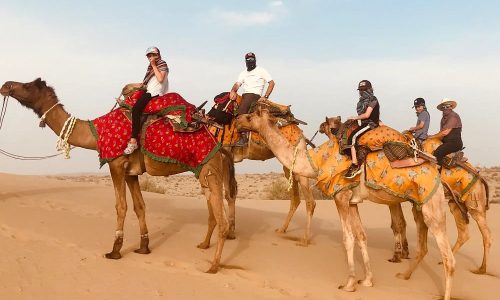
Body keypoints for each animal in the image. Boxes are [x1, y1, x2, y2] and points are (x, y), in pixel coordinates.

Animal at [0, 78, 238, 274]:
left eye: (27, 85)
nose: (6, 85)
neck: (95, 132)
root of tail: (220, 148)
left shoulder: (116, 164)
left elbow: (120, 206)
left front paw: (115, 250)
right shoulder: (131, 172)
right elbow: (140, 206)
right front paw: (143, 247)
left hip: (209, 169)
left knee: (222, 218)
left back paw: (213, 266)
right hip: (205, 174)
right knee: (214, 211)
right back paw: (203, 245)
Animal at [234, 109, 454, 298]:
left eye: (250, 116)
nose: (236, 120)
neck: (317, 162)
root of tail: (437, 172)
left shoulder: (340, 197)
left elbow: (347, 238)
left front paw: (349, 284)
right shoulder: (353, 201)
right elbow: (361, 236)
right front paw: (367, 280)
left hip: (431, 204)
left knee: (448, 257)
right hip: (419, 205)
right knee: (426, 246)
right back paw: (404, 275)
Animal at [320, 115, 492, 274]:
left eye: (329, 123)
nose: (322, 126)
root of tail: (478, 175)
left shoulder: (393, 196)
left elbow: (397, 224)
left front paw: (397, 255)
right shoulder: (395, 197)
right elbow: (399, 223)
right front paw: (404, 253)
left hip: (474, 200)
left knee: (486, 234)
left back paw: (482, 269)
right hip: (455, 203)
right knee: (464, 232)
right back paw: (443, 262)